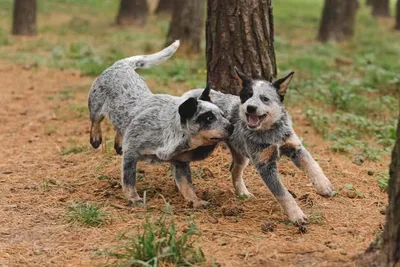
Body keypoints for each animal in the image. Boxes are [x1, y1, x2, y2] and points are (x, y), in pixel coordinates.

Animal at [87, 41, 231, 209]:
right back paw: (95, 138)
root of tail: (122, 64)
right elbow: (129, 179)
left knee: (120, 128)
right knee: (95, 121)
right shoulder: (131, 152)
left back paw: (118, 144)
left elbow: (187, 185)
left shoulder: (179, 162)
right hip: (95, 104)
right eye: (208, 118)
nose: (231, 126)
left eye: (223, 114)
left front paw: (196, 201)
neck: (167, 133)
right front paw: (134, 199)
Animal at [184, 68, 334, 224]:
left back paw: (243, 193)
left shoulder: (295, 147)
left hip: (241, 155)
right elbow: (283, 194)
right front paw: (296, 215)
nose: (250, 107)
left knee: (234, 170)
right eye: (247, 96)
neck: (271, 133)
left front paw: (324, 186)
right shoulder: (265, 166)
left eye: (264, 98)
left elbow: (313, 164)